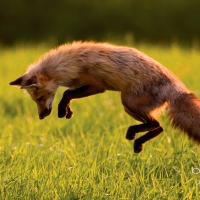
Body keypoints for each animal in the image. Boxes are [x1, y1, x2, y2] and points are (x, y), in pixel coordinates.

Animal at [10, 41, 200, 152]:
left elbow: (66, 93)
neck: (66, 65)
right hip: (129, 107)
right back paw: (138, 141)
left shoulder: (96, 85)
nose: (41, 116)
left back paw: (134, 136)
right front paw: (67, 111)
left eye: (39, 98)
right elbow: (68, 95)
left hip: (128, 101)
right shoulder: (81, 85)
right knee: (159, 127)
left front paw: (62, 110)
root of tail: (176, 87)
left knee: (156, 124)